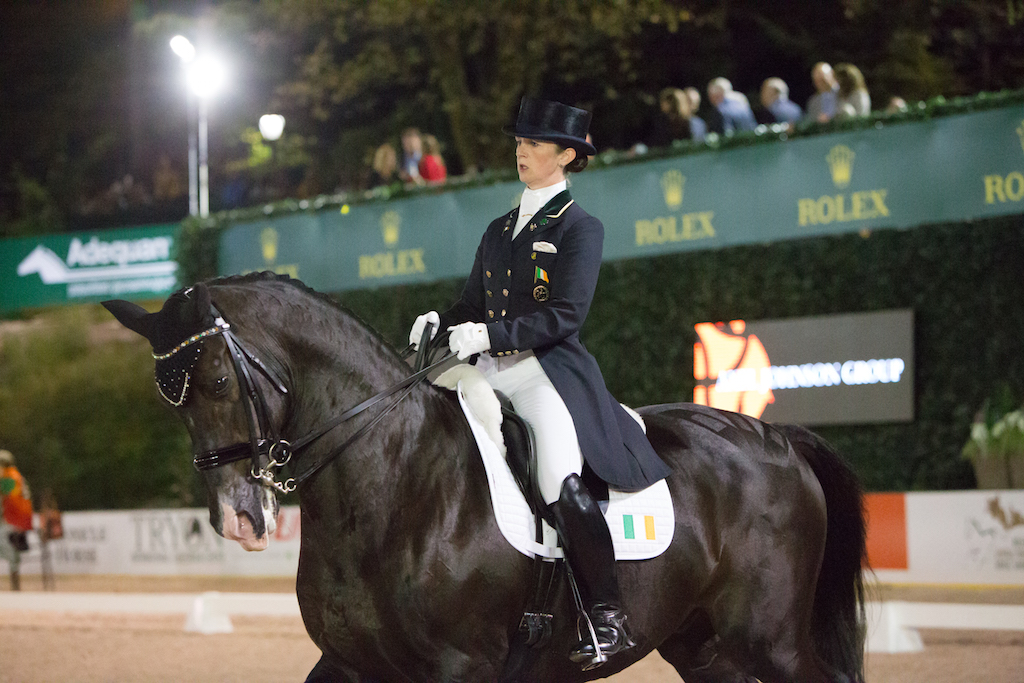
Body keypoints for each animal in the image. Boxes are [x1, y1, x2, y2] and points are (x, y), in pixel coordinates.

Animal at [103, 274, 868, 683]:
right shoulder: (350, 663)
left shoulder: (461, 665)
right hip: (704, 644)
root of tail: (778, 438)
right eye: (169, 401)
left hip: (770, 637)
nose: (238, 517)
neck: (390, 486)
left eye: (218, 381)